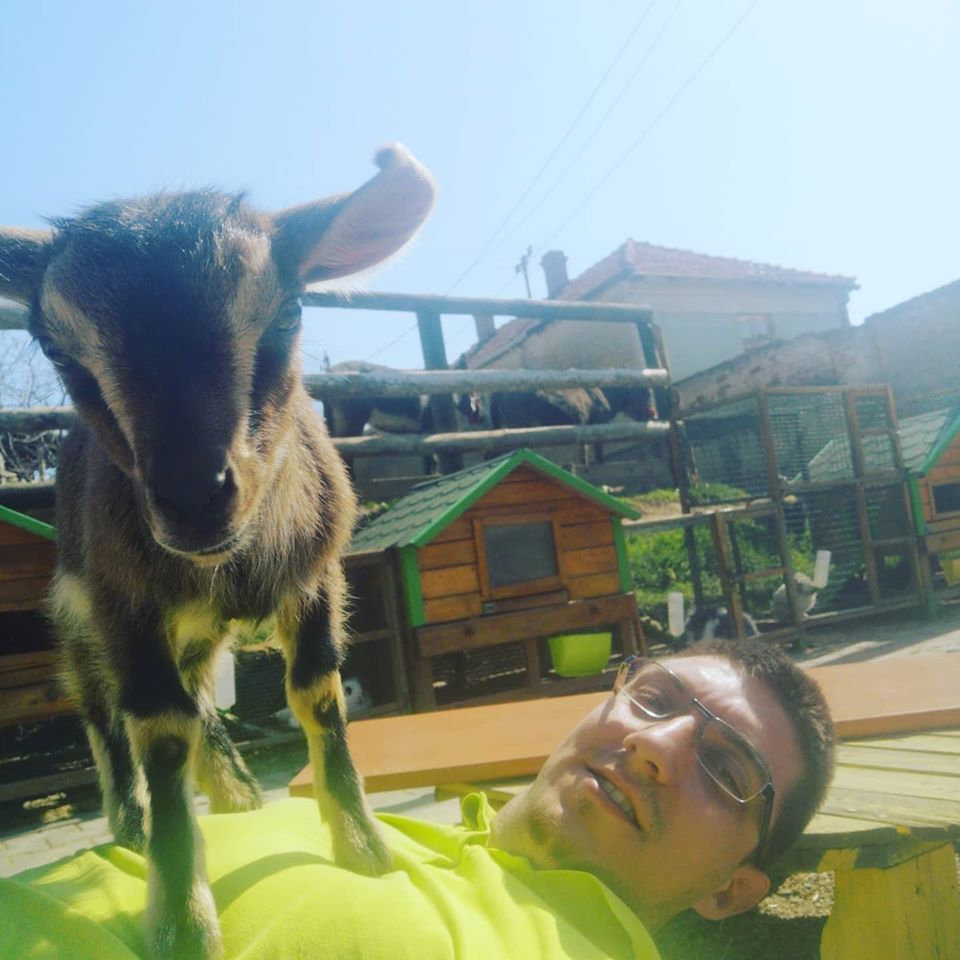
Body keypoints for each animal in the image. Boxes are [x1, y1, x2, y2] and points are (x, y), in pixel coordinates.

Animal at [0, 144, 435, 960]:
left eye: (290, 309)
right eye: (53, 346)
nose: (194, 498)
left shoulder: (317, 575)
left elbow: (317, 693)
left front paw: (365, 851)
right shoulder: (124, 600)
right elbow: (157, 728)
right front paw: (181, 918)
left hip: (196, 631)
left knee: (201, 692)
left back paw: (236, 795)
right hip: (78, 613)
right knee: (103, 707)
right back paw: (133, 821)